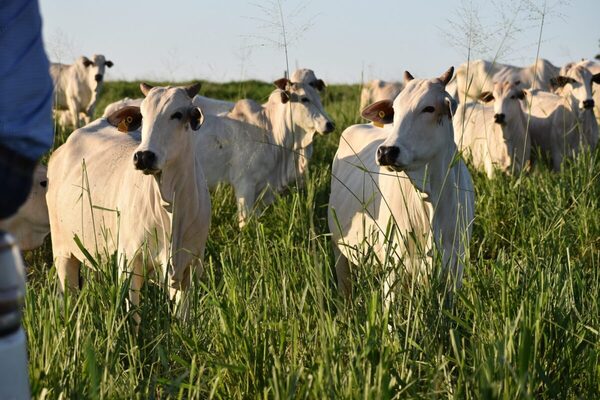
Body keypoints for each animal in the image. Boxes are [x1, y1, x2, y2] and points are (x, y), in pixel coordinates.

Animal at [45, 83, 209, 322]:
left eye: (177, 114)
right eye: (142, 114)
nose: (143, 156)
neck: (170, 203)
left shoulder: (191, 267)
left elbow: (184, 319)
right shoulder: (129, 262)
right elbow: (133, 317)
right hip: (62, 251)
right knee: (67, 295)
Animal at [328, 68, 474, 304]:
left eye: (429, 108)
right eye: (395, 111)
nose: (386, 151)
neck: (430, 197)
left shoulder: (455, 268)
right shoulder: (394, 266)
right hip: (339, 249)